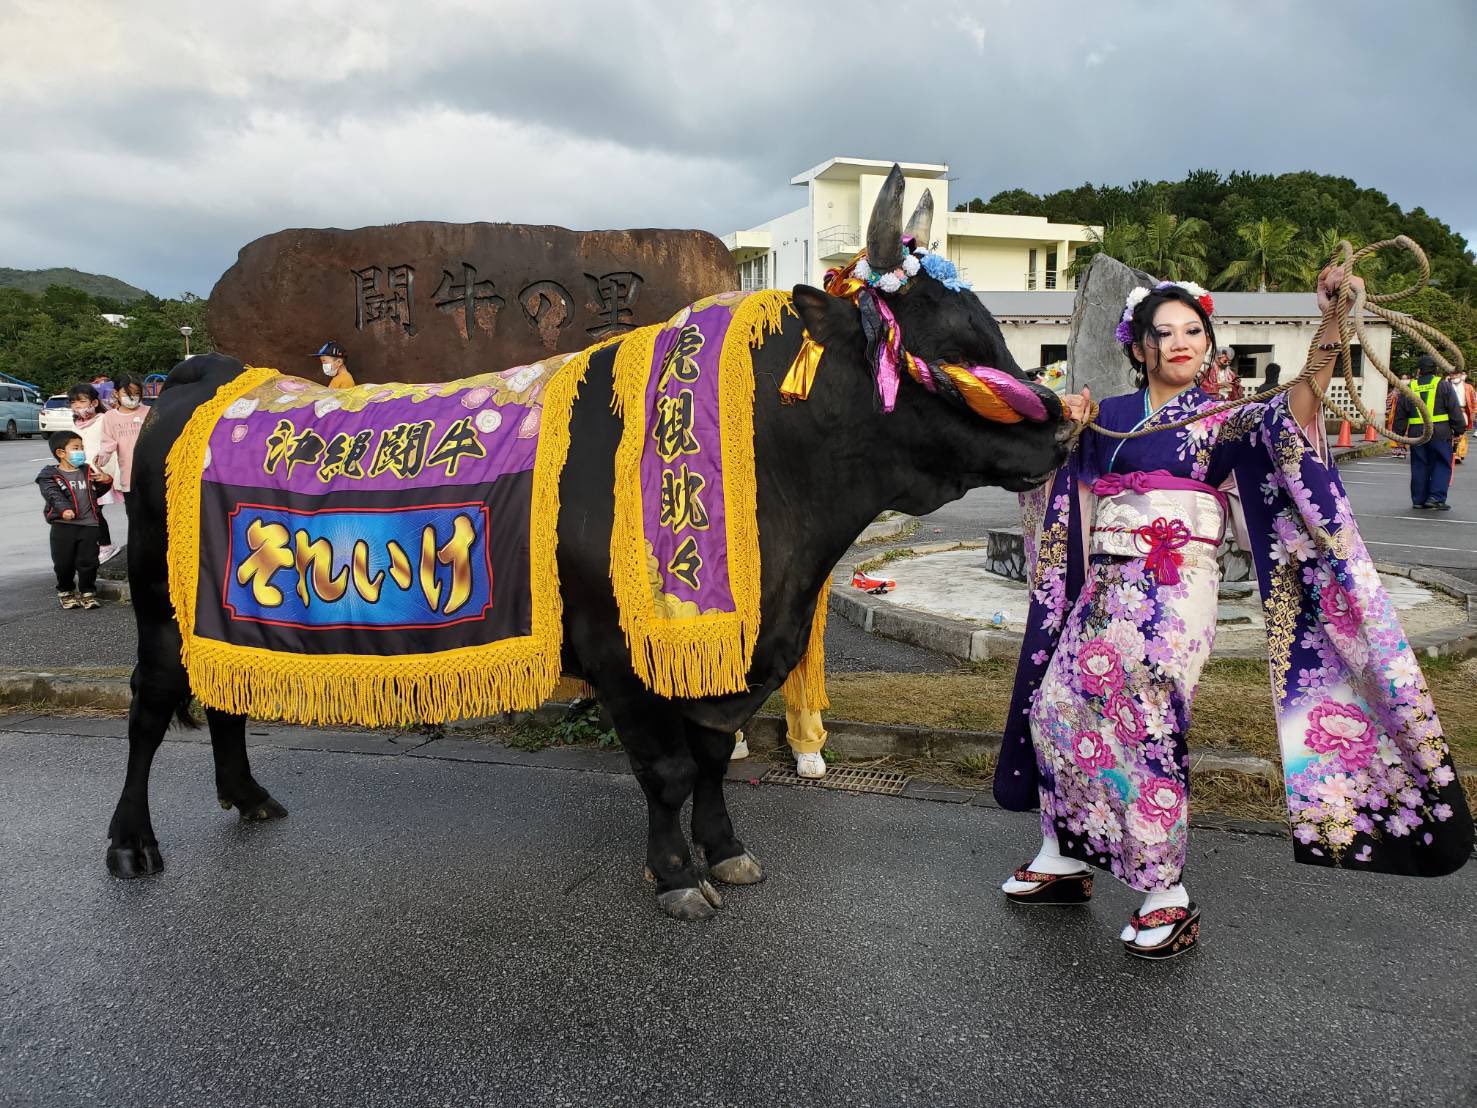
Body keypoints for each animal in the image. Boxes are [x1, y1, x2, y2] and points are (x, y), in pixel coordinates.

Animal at [107, 283, 1075, 921]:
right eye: (946, 352)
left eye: (998, 339)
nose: (1065, 426)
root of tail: (210, 371)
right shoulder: (619, 654)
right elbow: (668, 769)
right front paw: (676, 875)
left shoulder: (729, 653)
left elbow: (713, 758)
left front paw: (727, 852)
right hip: (158, 606)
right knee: (151, 707)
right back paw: (131, 844)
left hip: (218, 616)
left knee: (223, 696)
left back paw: (248, 796)